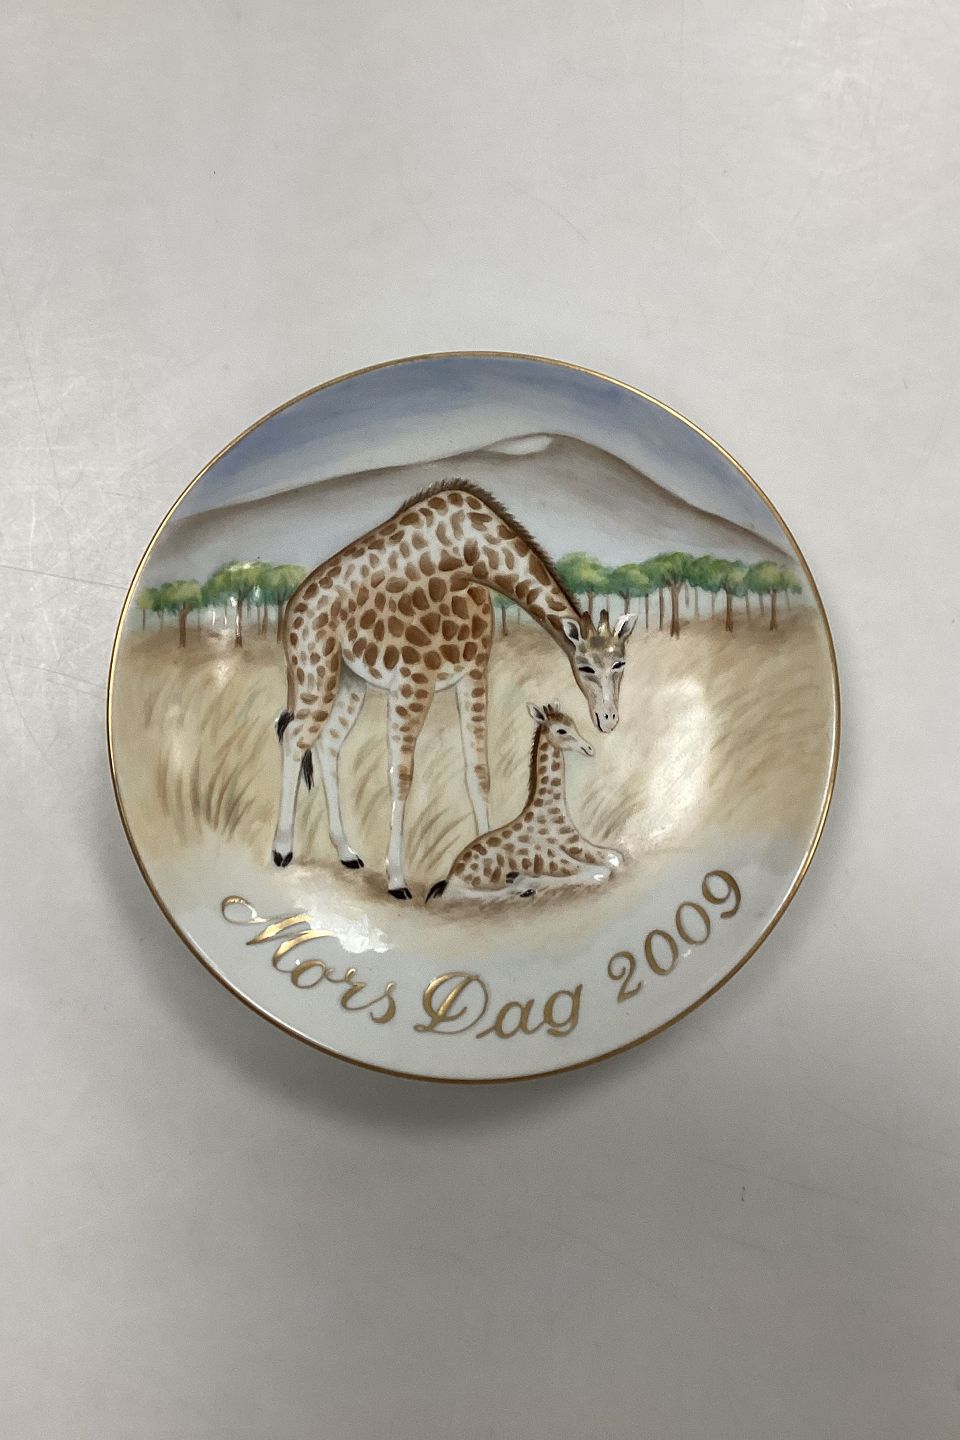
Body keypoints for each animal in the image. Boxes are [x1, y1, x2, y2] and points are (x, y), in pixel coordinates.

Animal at [425, 702, 622, 904]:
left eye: (574, 724)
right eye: (561, 730)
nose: (589, 748)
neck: (551, 809)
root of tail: (450, 875)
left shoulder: (577, 842)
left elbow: (615, 858)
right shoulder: (551, 853)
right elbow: (601, 871)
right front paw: (525, 879)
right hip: (465, 885)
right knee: (461, 895)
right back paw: (522, 887)